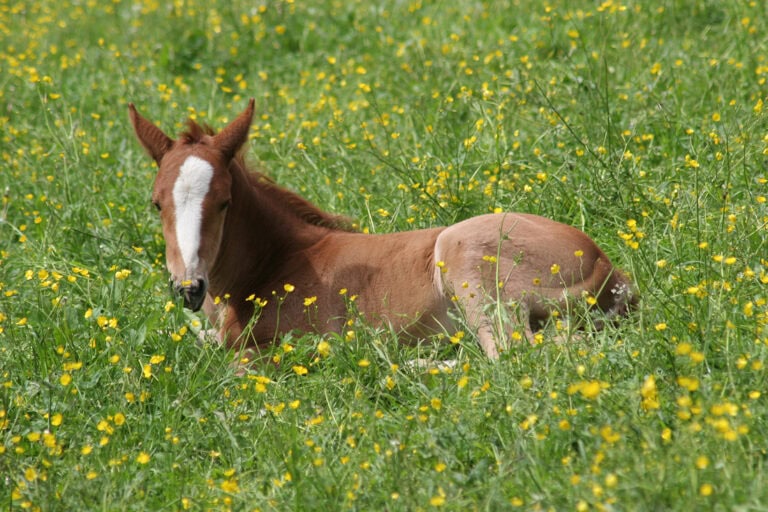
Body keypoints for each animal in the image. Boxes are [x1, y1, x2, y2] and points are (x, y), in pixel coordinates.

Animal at [129, 99, 637, 360]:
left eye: (224, 202)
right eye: (156, 203)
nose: (189, 288)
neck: (275, 262)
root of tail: (607, 269)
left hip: (467, 261)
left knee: (512, 355)